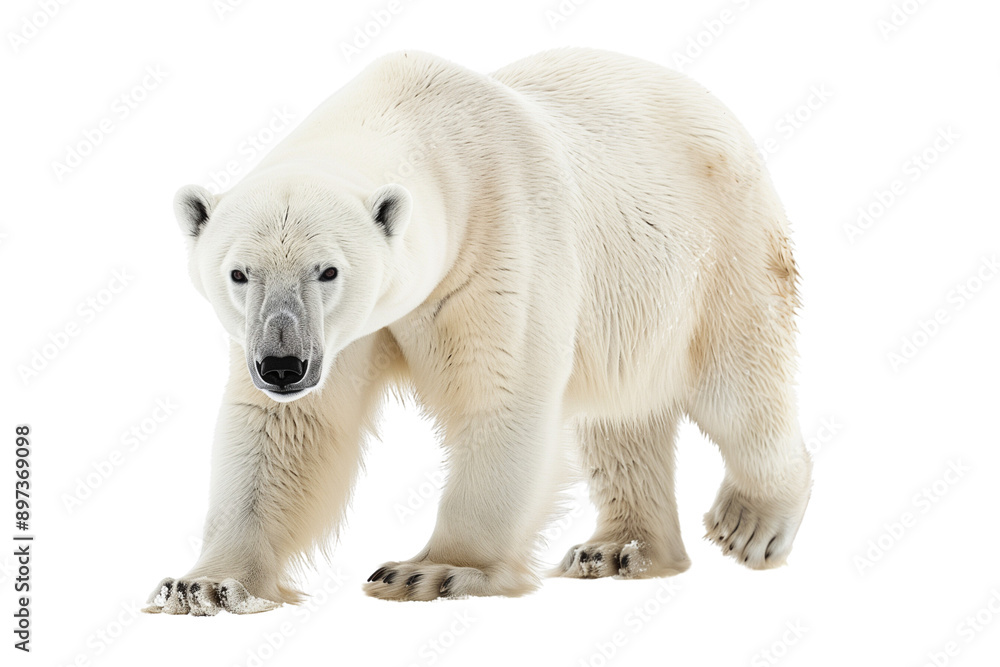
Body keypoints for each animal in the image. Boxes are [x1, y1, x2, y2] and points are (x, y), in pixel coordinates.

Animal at [143, 48, 812, 615]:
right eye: (238, 273)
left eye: (328, 270)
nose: (282, 366)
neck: (423, 122)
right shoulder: (343, 333)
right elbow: (286, 429)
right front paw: (205, 585)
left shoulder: (499, 236)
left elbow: (500, 391)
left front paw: (430, 571)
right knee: (619, 418)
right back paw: (617, 550)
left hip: (719, 252)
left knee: (737, 388)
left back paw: (750, 523)